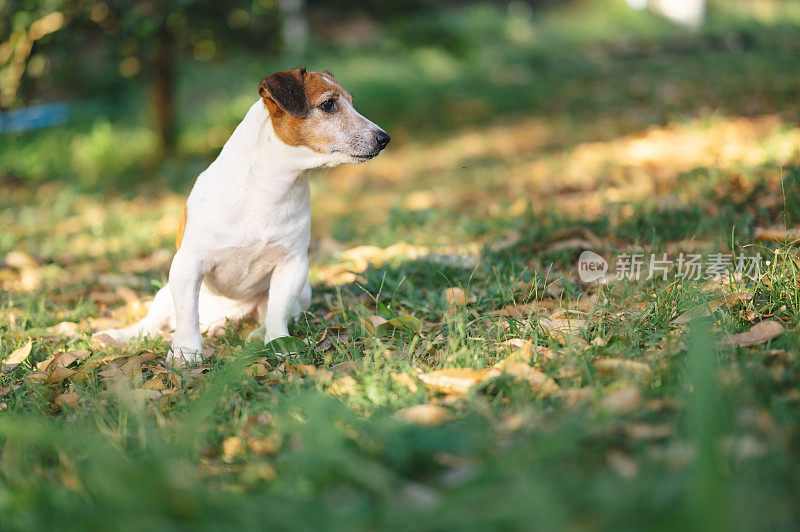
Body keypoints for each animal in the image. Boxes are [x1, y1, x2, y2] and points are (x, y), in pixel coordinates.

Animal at [93, 67, 390, 362]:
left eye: (352, 102)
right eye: (328, 105)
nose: (384, 138)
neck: (270, 188)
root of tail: (221, 318)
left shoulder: (292, 266)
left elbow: (278, 313)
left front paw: (278, 343)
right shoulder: (188, 265)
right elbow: (187, 316)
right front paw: (186, 353)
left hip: (301, 291)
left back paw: (255, 335)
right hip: (165, 293)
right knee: (151, 324)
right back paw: (119, 336)